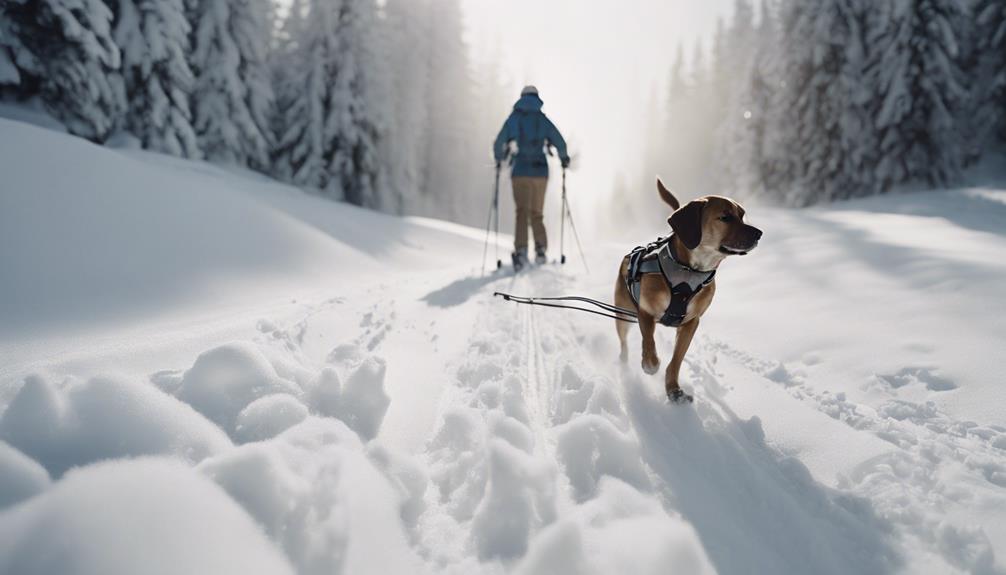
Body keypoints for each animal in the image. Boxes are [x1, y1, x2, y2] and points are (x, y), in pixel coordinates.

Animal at [611, 177, 760, 402]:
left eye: (742, 216)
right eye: (725, 217)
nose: (759, 233)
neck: (690, 270)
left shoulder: (690, 323)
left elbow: (676, 360)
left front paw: (673, 389)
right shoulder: (645, 312)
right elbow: (648, 341)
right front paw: (650, 363)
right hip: (623, 315)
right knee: (624, 342)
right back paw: (624, 363)